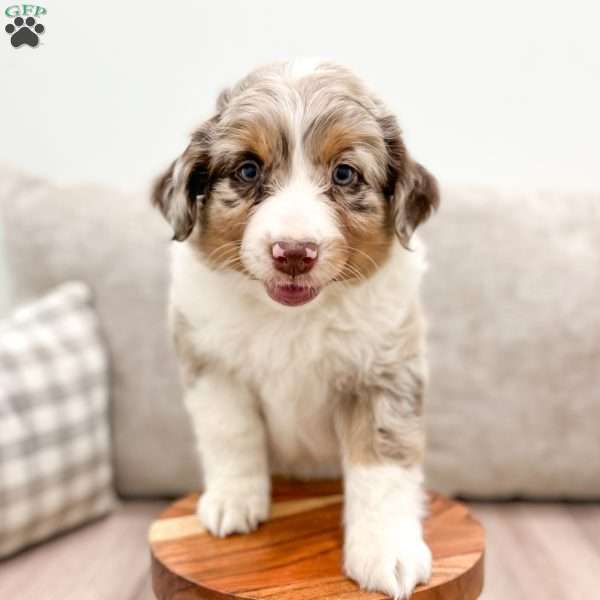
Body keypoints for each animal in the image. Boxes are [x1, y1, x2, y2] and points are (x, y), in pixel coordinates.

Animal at [152, 61, 438, 600]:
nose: (293, 252)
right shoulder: (213, 364)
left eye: (344, 174)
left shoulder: (385, 373)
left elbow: (382, 468)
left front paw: (387, 552)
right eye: (248, 170)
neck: (292, 319)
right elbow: (231, 433)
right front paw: (234, 501)